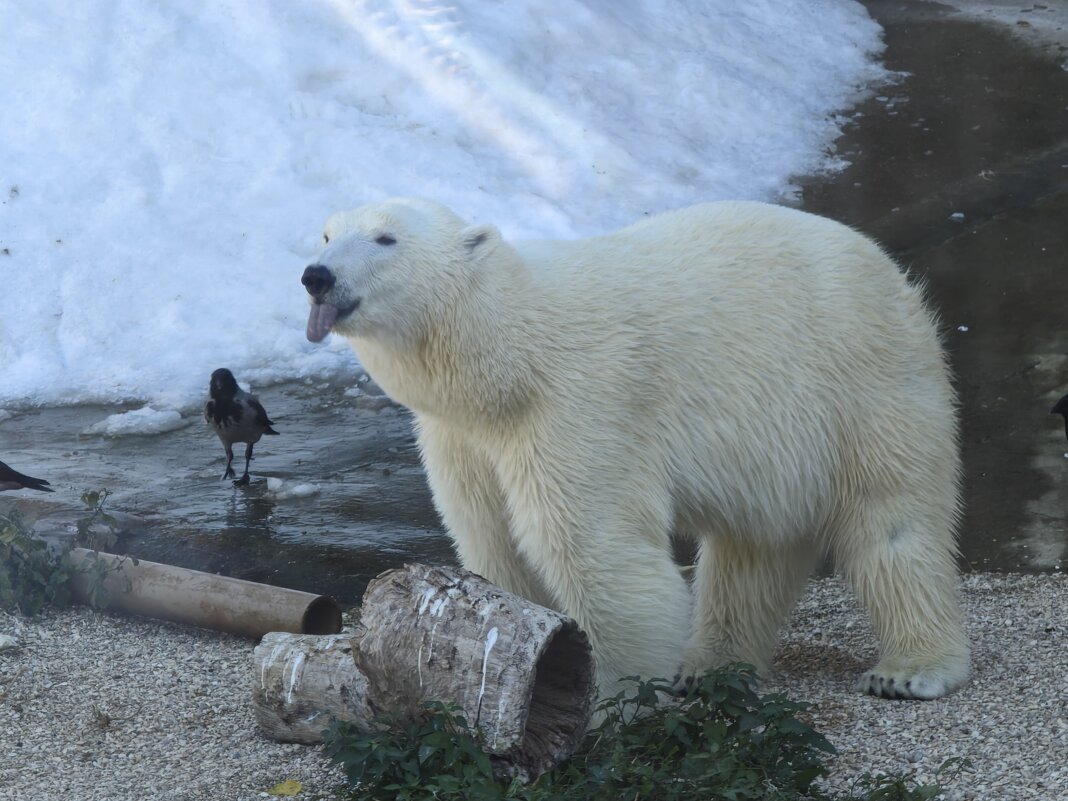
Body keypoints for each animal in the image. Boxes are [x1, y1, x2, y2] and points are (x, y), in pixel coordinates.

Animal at [299, 199, 969, 700]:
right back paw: (712, 665)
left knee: (893, 521)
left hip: (862, 380)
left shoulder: (580, 406)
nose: (316, 276)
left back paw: (911, 670)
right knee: (753, 550)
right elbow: (496, 544)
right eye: (327, 233)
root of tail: (891, 271)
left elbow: (595, 550)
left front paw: (608, 695)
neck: (507, 359)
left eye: (385, 238)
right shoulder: (459, 438)